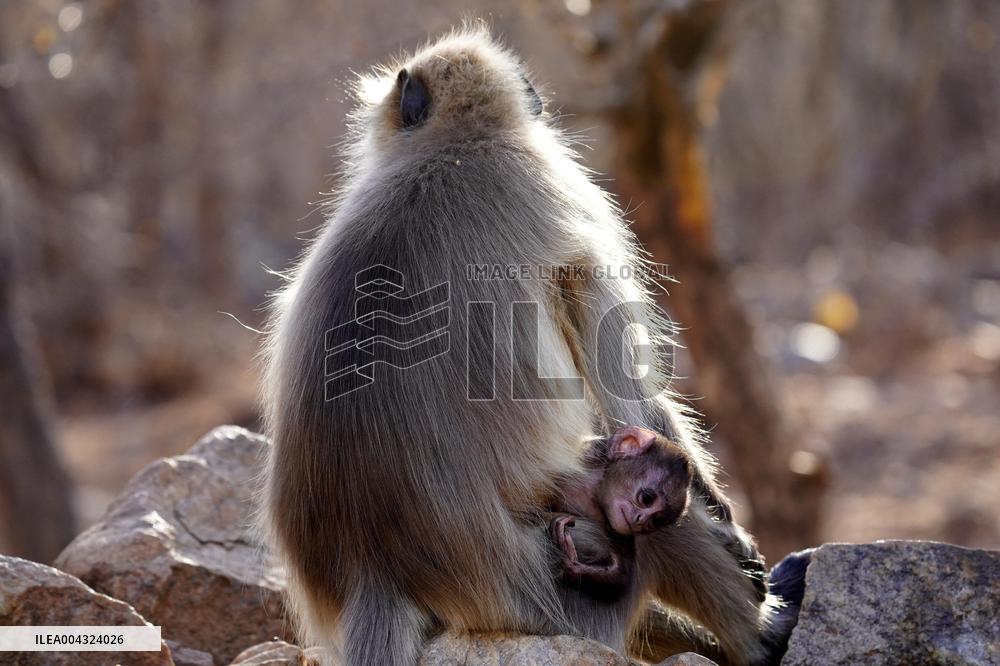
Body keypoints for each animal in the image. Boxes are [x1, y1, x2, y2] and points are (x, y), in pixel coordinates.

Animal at [261, 25, 803, 666]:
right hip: (544, 592)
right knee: (660, 524)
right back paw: (760, 638)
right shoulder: (565, 191)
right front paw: (727, 523)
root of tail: (377, 570)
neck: (456, 141)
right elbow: (628, 394)